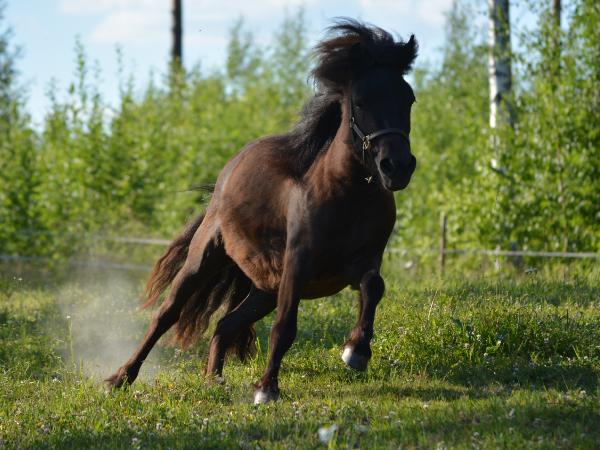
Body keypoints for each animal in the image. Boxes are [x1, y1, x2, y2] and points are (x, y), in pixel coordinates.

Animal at [106, 19, 418, 404]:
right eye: (361, 102)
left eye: (409, 99)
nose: (397, 167)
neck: (348, 194)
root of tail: (226, 175)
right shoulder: (298, 264)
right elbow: (285, 327)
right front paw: (267, 389)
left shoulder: (362, 261)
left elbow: (374, 287)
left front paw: (356, 352)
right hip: (204, 259)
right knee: (166, 314)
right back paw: (120, 377)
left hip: (264, 288)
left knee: (225, 324)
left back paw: (213, 380)